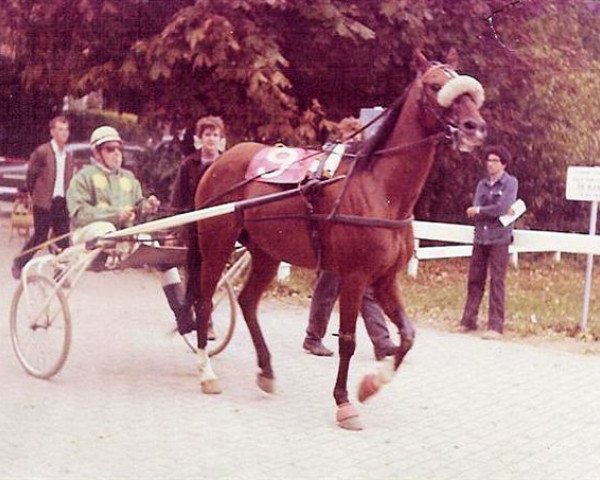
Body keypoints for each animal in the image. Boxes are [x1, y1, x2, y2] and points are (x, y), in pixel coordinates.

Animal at [192, 50, 488, 430]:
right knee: (203, 302)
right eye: (436, 85)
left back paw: (267, 371)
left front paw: (372, 383)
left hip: (266, 252)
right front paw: (344, 402)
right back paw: (206, 372)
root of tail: (220, 160)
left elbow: (407, 335)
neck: (379, 190)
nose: (474, 127)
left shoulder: (385, 279)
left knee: (247, 302)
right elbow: (348, 340)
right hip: (216, 243)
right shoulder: (355, 277)